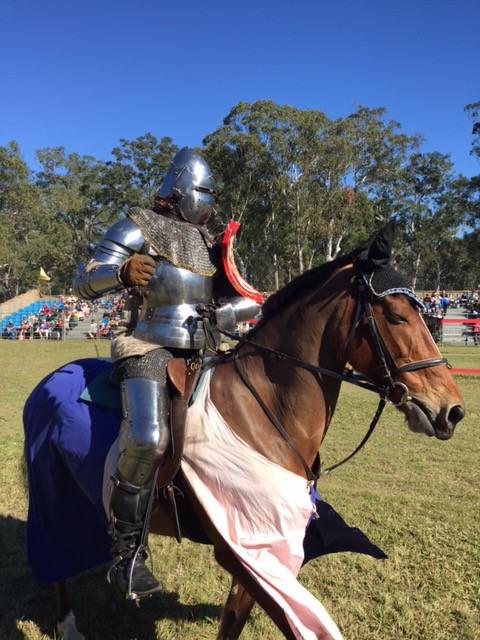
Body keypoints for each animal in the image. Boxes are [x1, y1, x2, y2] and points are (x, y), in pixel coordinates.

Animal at [23, 221, 464, 640]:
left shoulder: (266, 550)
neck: (264, 408)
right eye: (396, 316)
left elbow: (240, 619)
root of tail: (48, 381)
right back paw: (72, 622)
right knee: (56, 557)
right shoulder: (247, 550)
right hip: (51, 495)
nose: (452, 410)